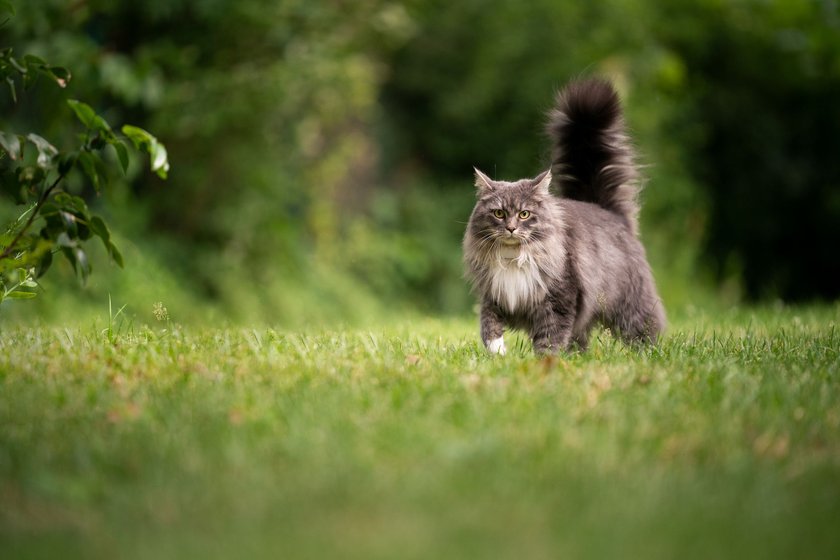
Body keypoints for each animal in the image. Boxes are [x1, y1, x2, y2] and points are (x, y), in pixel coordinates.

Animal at [462, 77, 668, 354]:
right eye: (499, 213)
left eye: (524, 214)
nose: (511, 228)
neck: (514, 258)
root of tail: (605, 209)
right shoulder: (495, 295)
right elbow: (489, 325)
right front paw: (498, 353)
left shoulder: (560, 298)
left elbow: (550, 337)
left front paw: (545, 360)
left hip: (631, 306)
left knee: (645, 330)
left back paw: (648, 354)